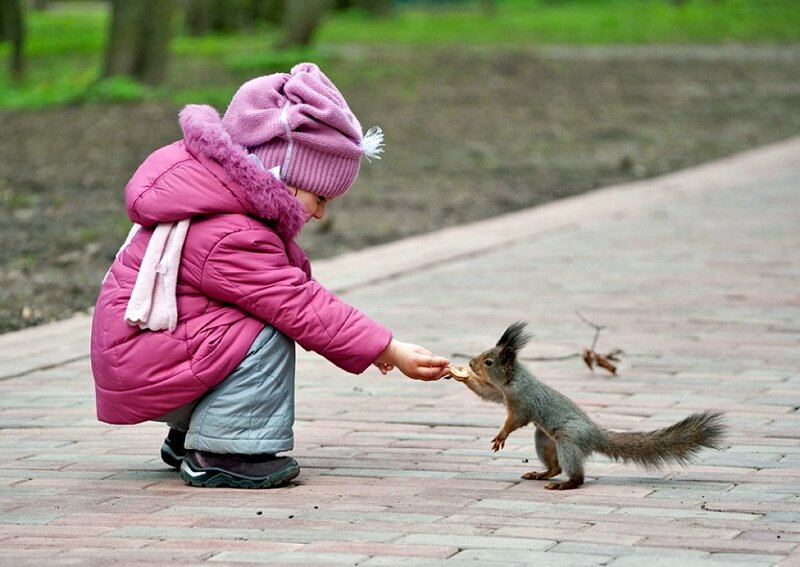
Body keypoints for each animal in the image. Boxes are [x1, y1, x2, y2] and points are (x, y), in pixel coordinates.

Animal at [450, 322, 726, 490]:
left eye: (489, 362)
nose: (471, 363)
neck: (513, 379)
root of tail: (595, 434)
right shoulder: (500, 393)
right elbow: (486, 393)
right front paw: (459, 376)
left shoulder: (522, 401)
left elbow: (514, 420)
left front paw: (501, 435)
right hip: (544, 438)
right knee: (555, 466)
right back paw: (541, 474)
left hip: (568, 440)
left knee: (577, 475)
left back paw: (565, 484)